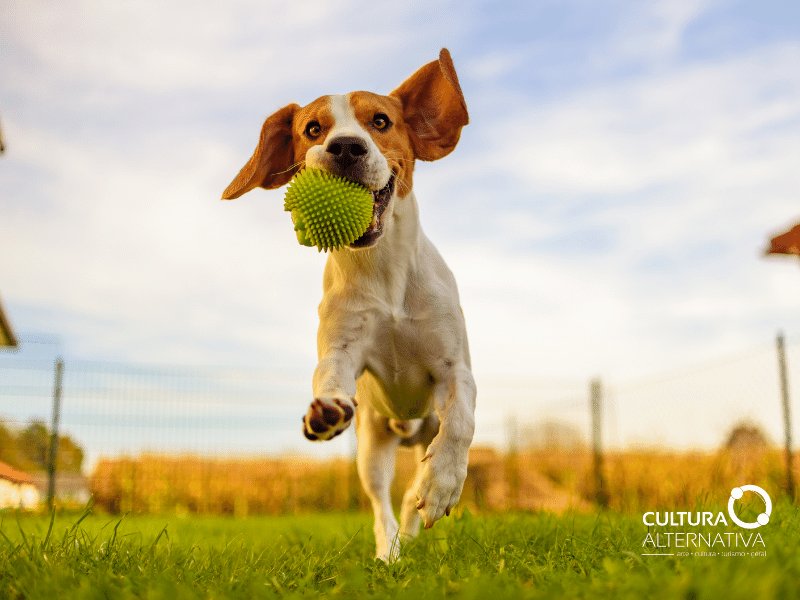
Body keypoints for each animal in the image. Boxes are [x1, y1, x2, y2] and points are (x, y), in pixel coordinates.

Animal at [222, 49, 476, 560]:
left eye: (380, 121)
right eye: (312, 129)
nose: (344, 147)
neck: (383, 272)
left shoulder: (455, 369)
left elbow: (460, 420)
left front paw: (441, 484)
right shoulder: (342, 348)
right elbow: (328, 375)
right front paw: (325, 410)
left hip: (422, 428)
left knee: (414, 481)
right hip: (371, 447)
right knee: (382, 504)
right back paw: (389, 552)